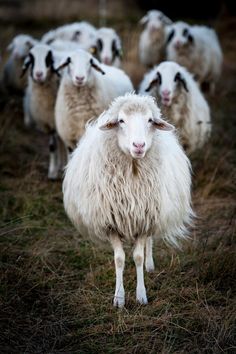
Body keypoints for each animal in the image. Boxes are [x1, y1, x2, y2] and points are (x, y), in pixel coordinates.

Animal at [22, 44, 65, 180]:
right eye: (32, 59)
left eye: (48, 59)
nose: (39, 74)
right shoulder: (48, 122)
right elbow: (52, 146)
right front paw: (52, 172)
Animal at [63, 94, 194, 306]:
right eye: (121, 121)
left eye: (150, 120)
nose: (139, 146)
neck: (132, 169)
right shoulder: (111, 224)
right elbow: (119, 259)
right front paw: (119, 297)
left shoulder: (145, 219)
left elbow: (138, 257)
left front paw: (141, 295)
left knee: (149, 241)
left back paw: (150, 265)